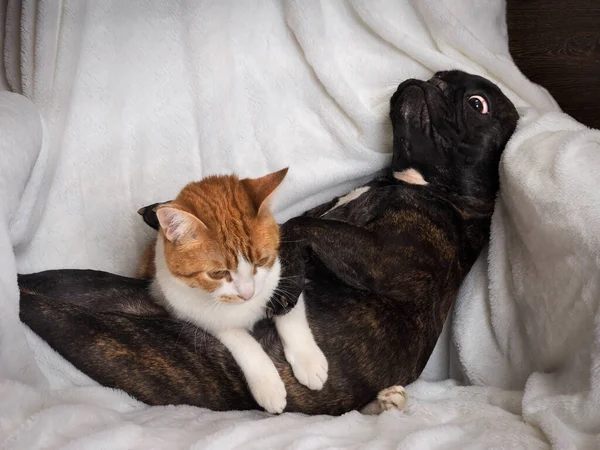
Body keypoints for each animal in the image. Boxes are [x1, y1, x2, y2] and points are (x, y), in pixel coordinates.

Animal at [138, 168, 328, 412]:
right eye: (217, 273)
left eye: (262, 261)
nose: (248, 293)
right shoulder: (192, 313)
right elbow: (242, 341)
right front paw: (268, 384)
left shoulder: (280, 278)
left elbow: (290, 313)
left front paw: (308, 359)